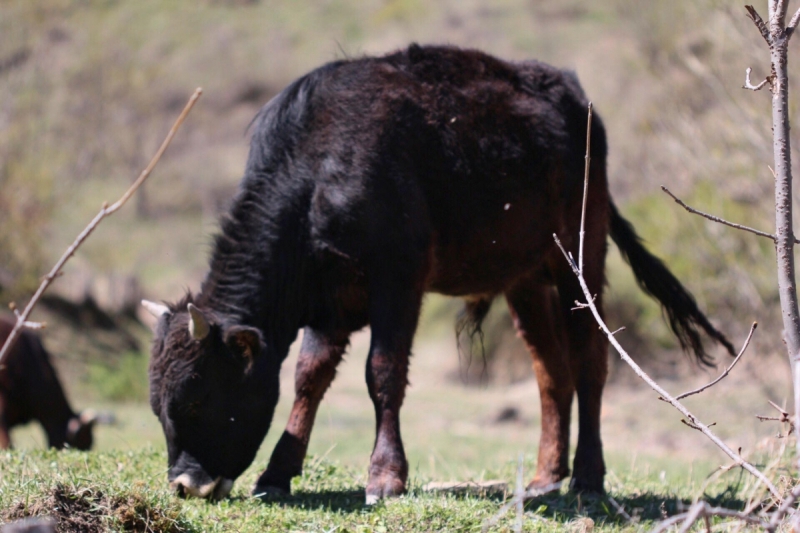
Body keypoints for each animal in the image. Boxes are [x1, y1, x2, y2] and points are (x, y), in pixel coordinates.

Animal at [142, 43, 732, 500]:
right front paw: (277, 474)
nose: (185, 485)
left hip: (581, 262)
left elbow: (382, 374)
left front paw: (385, 477)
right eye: (157, 406)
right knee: (551, 372)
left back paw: (588, 478)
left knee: (590, 361)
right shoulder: (330, 302)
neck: (319, 169)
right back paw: (546, 476)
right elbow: (309, 377)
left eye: (198, 396)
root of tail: (572, 95)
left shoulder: (399, 283)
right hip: (525, 281)